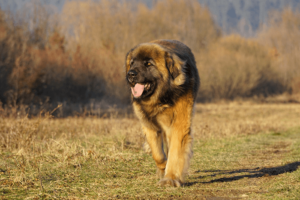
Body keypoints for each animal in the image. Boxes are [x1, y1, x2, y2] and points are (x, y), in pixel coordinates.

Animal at [124, 39, 199, 187]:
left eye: (148, 64)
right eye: (132, 63)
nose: (130, 74)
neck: (161, 99)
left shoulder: (179, 125)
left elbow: (175, 153)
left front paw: (170, 178)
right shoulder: (149, 125)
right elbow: (157, 154)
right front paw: (163, 168)